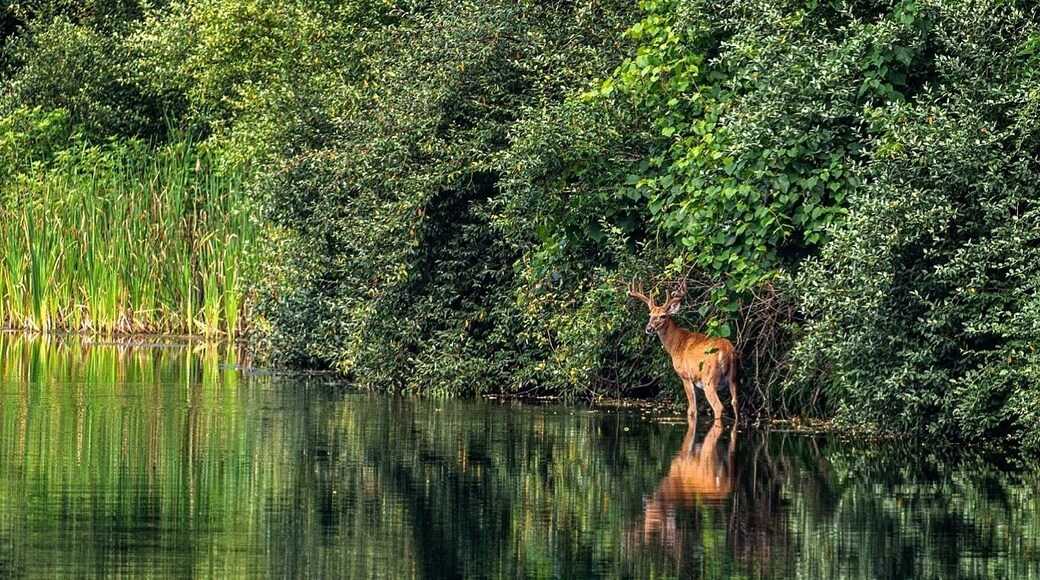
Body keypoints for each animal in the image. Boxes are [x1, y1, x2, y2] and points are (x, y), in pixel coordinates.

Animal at [628, 281, 739, 424]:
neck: (676, 345)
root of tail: (727, 350)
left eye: (663, 316)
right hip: (734, 378)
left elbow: (691, 410)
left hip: (708, 379)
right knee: (735, 402)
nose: (649, 328)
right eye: (650, 315)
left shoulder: (685, 376)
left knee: (718, 407)